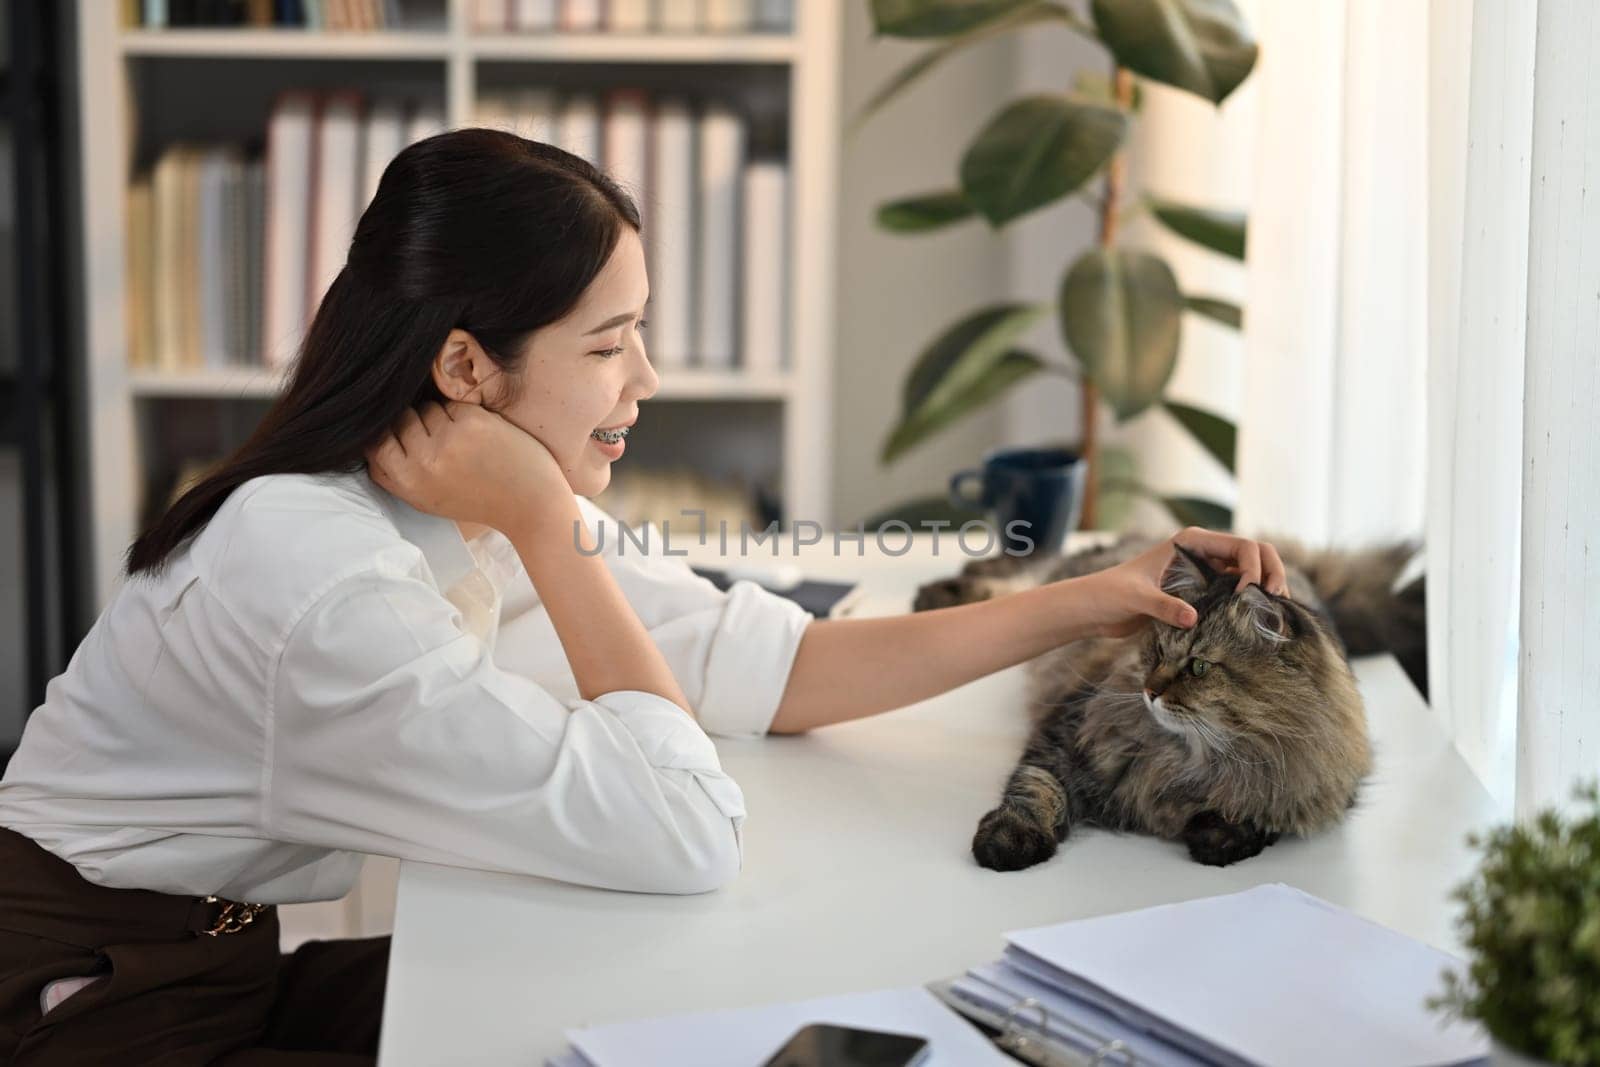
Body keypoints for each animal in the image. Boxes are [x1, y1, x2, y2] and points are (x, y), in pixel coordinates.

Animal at [915, 537, 1427, 870]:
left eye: (1198, 667)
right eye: (1159, 651)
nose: (1151, 691)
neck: (1191, 758)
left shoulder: (1317, 781)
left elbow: (1260, 811)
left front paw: (1219, 835)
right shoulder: (1064, 732)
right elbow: (1035, 789)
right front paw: (1008, 841)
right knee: (1015, 575)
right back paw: (934, 595)